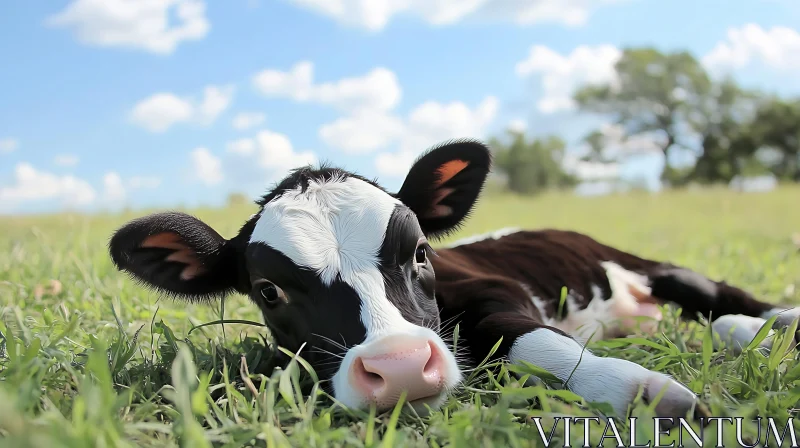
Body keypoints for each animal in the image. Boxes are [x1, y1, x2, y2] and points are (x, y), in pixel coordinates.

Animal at [108, 139, 800, 416]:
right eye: (268, 291)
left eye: (420, 254)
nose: (401, 368)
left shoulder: (495, 291)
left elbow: (533, 339)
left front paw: (639, 391)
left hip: (645, 265)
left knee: (720, 301)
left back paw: (776, 323)